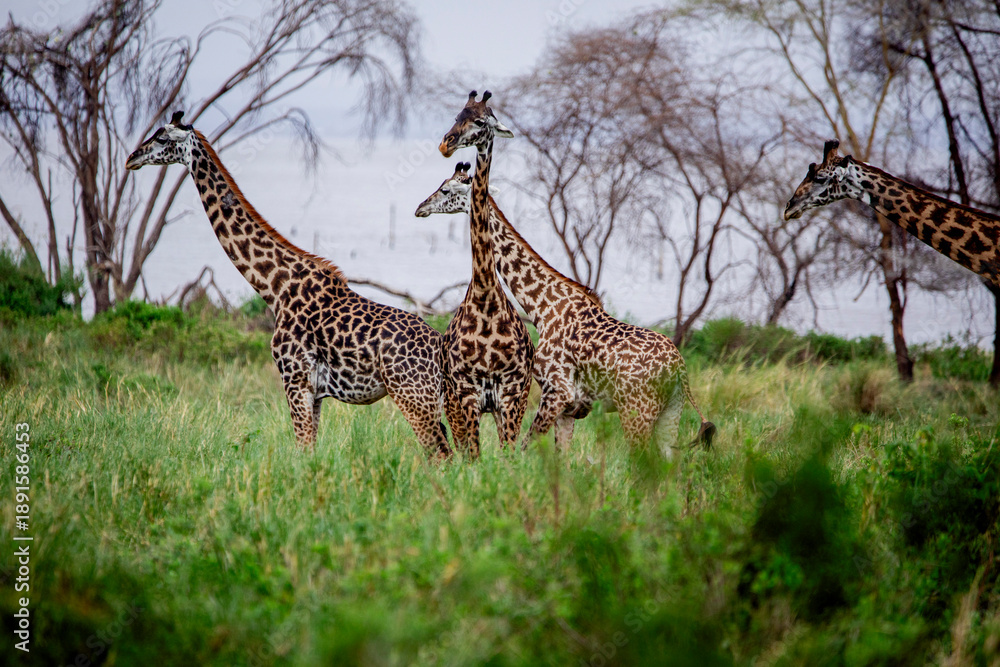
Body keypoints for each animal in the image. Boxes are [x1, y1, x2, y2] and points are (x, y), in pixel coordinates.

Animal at [126, 111, 451, 457]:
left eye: (161, 137)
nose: (132, 158)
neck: (275, 286)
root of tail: (442, 348)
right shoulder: (314, 391)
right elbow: (310, 450)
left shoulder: (295, 380)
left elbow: (303, 449)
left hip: (412, 396)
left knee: (441, 454)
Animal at [415, 161, 717, 454]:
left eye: (445, 190)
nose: (420, 208)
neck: (543, 307)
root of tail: (679, 367)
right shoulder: (571, 407)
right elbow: (561, 458)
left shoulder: (556, 392)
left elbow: (525, 447)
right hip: (671, 412)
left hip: (637, 410)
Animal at [435, 91, 534, 458]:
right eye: (456, 115)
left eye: (480, 121)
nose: (446, 144)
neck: (486, 297)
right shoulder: (466, 394)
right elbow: (474, 459)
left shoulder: (511, 394)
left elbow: (507, 458)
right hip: (452, 402)